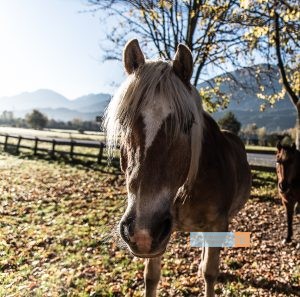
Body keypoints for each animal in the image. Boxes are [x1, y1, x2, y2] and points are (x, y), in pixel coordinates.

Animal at [104, 39, 252, 296]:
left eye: (187, 125)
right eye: (123, 124)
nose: (141, 231)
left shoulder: (218, 224)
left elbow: (210, 273)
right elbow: (151, 278)